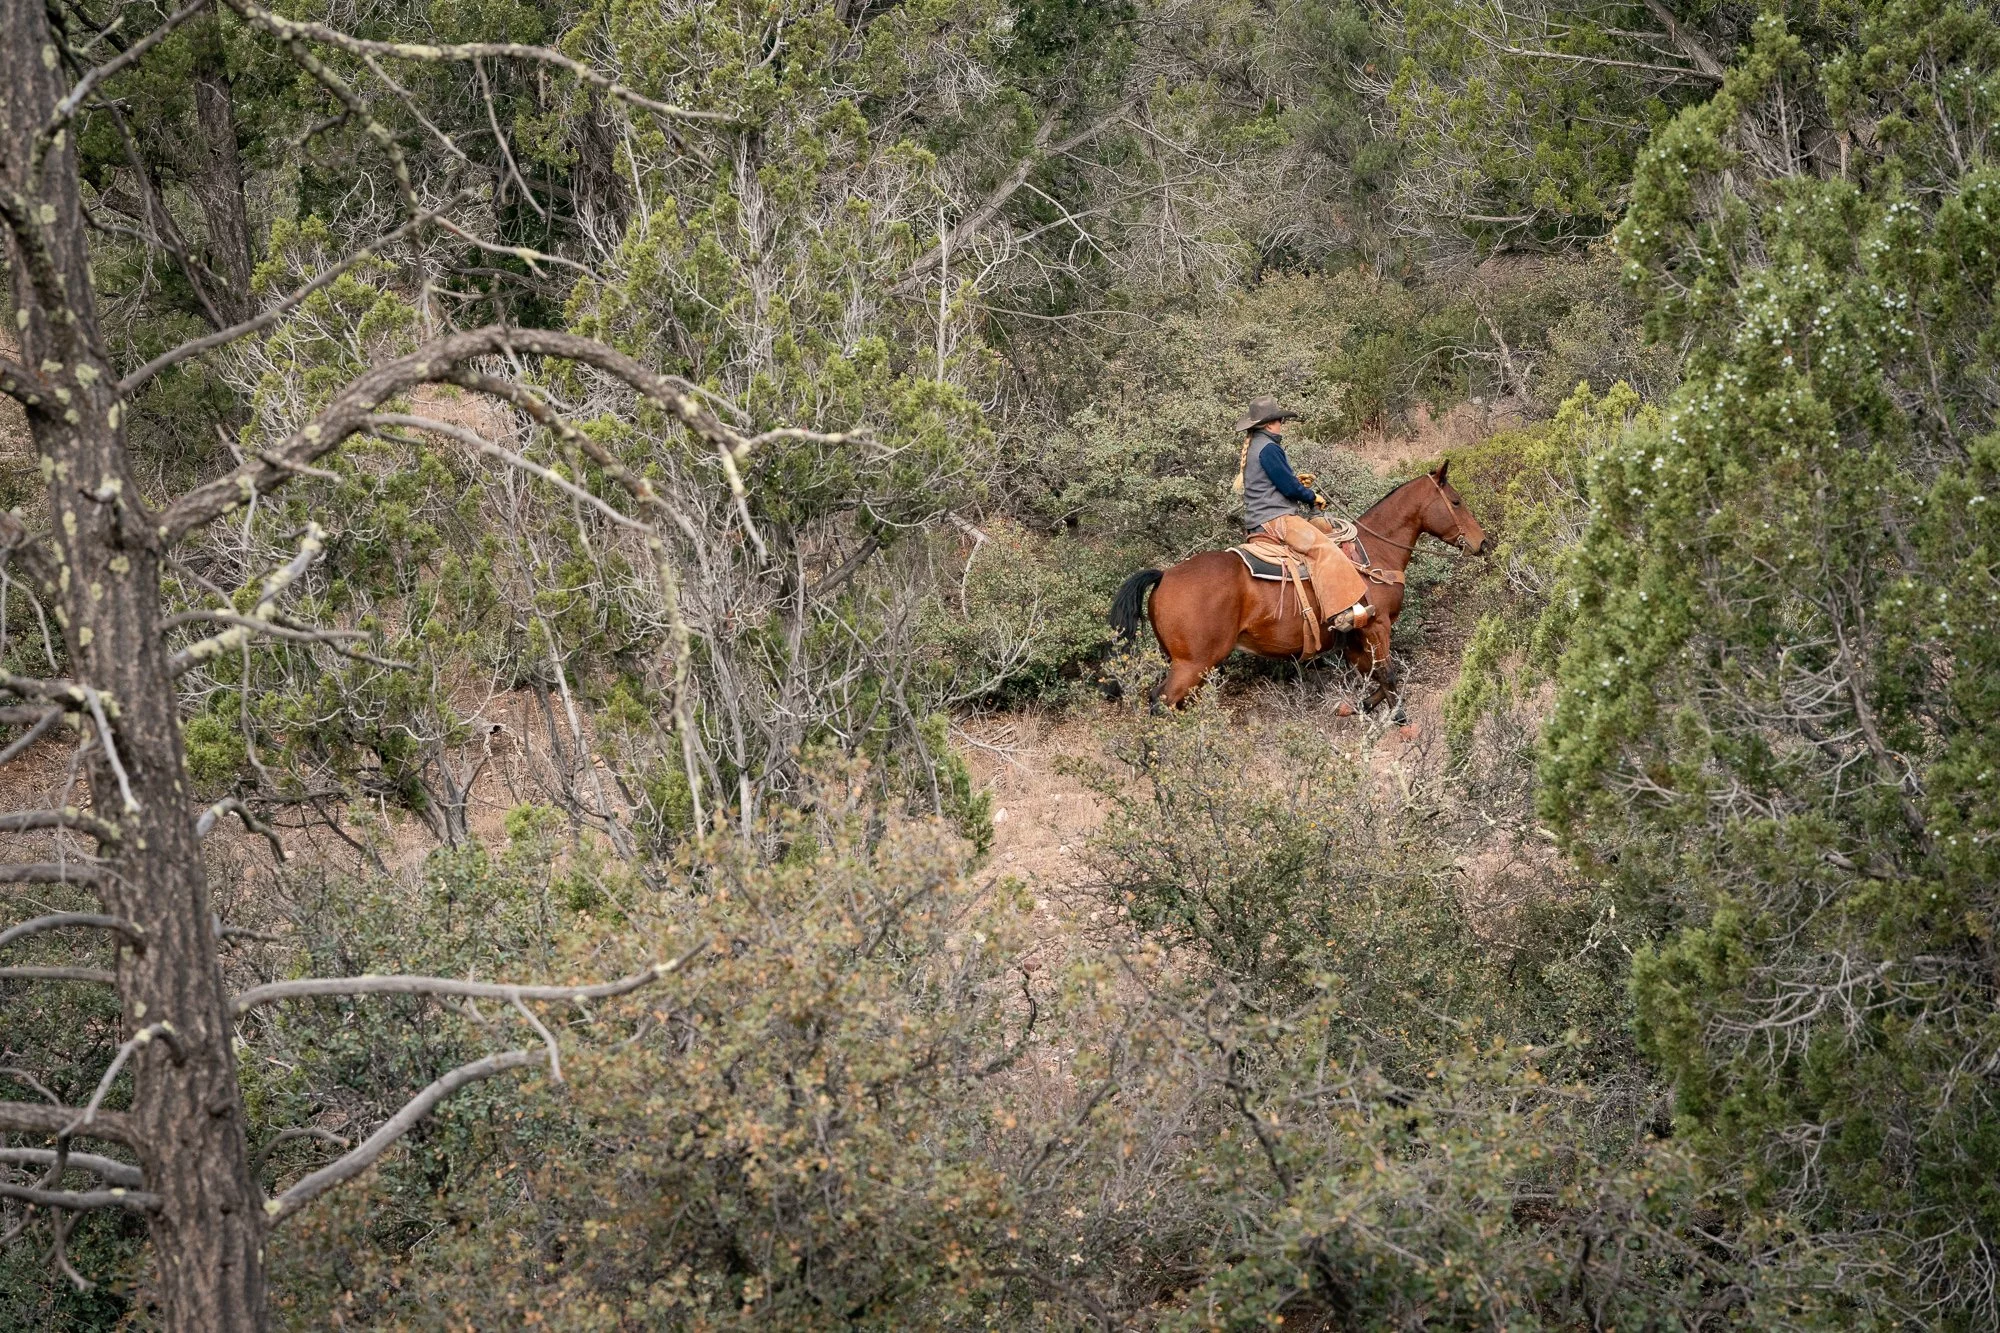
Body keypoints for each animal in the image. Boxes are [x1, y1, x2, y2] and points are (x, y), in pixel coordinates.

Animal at [1108, 461, 1491, 710]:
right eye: (1456, 501)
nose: (1483, 543)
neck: (1372, 553)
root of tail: (1165, 575)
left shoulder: (1353, 637)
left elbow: (1374, 676)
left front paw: (1363, 706)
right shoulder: (1378, 626)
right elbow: (1389, 675)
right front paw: (1399, 720)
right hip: (1192, 664)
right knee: (1161, 702)